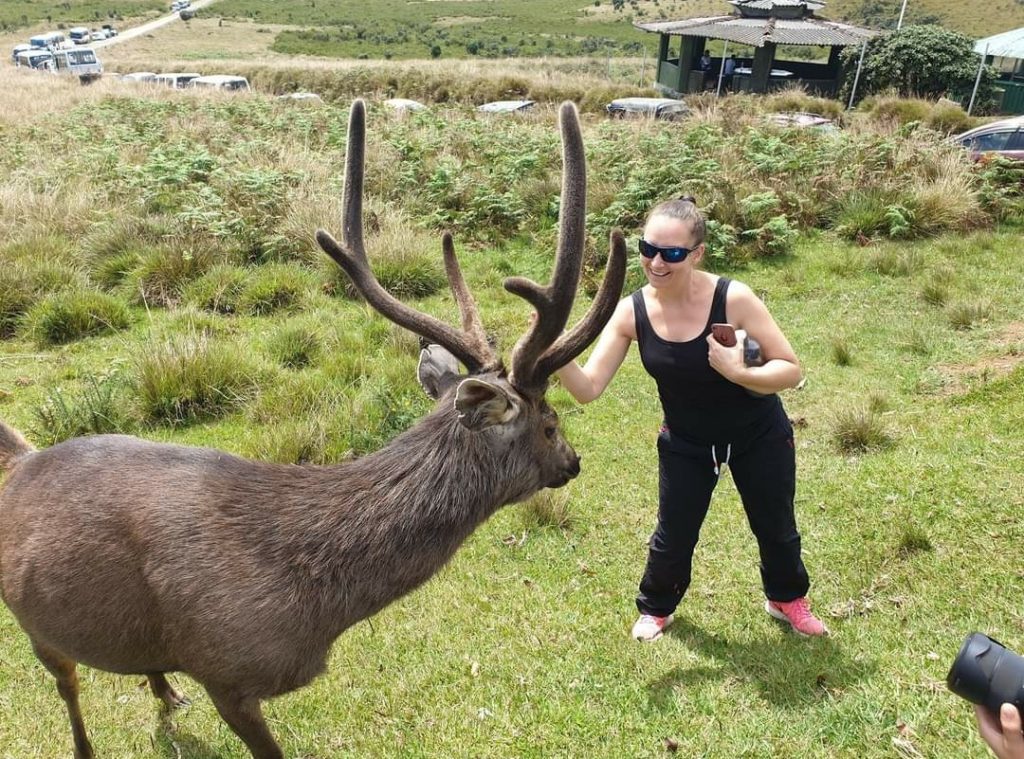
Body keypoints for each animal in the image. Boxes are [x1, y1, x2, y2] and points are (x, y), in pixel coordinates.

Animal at [0, 100, 622, 757]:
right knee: (68, 684)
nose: (575, 461)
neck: (316, 607)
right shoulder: (225, 671)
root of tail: (22, 461)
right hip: (30, 619)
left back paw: (167, 693)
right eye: (551, 423)